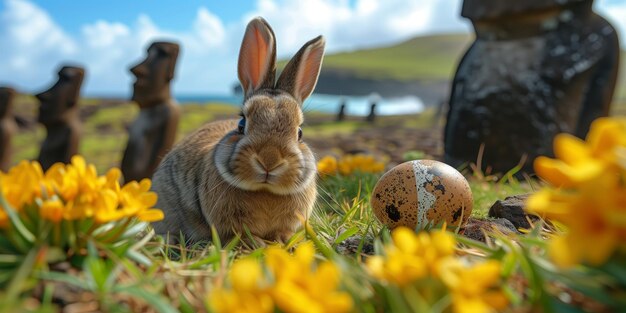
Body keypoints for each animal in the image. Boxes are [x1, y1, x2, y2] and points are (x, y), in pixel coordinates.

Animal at [151, 17, 324, 245]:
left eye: (300, 133)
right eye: (241, 124)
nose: (269, 161)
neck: (264, 191)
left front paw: (281, 241)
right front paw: (257, 243)